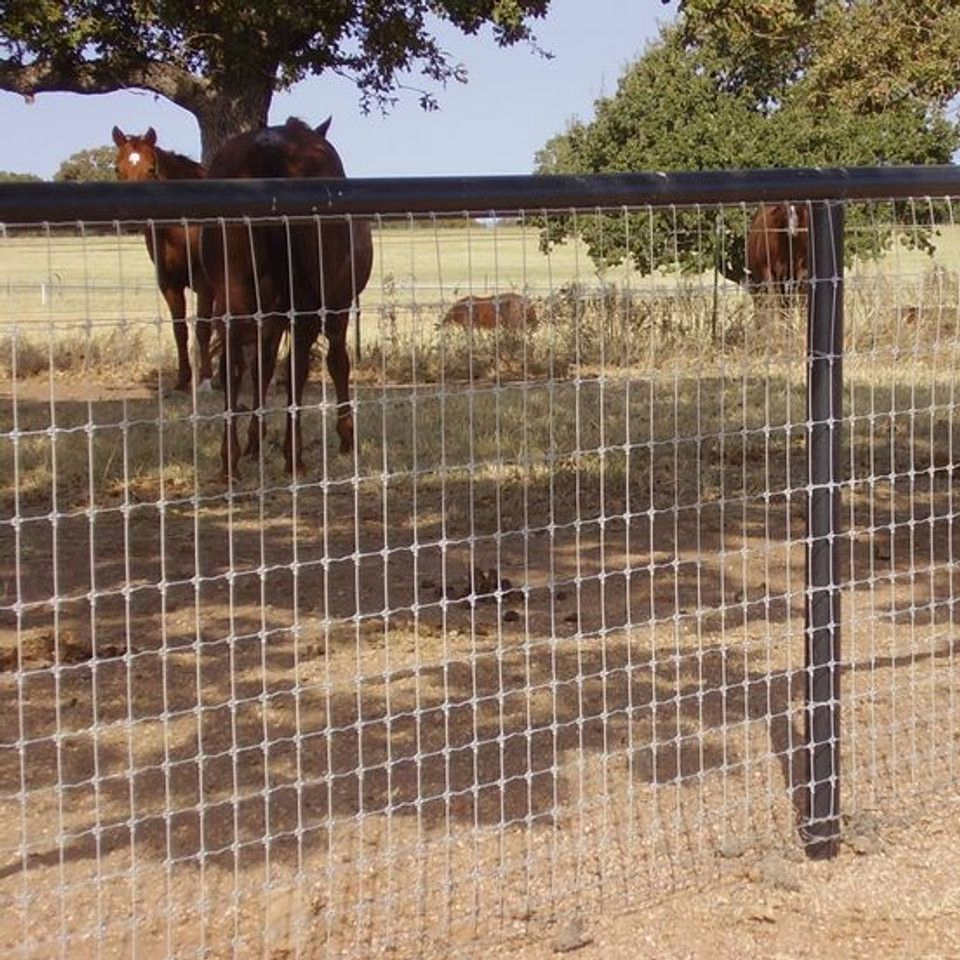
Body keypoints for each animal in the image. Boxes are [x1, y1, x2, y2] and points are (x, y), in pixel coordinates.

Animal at [112, 126, 215, 391]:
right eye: (117, 168)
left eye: (151, 168)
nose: (131, 218)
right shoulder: (169, 283)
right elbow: (180, 330)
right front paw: (182, 380)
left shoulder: (205, 284)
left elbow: (203, 328)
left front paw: (206, 380)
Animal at [200, 116, 373, 480]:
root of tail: (271, 146)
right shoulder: (337, 307)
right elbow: (338, 362)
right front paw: (346, 437)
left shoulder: (272, 317)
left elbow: (261, 368)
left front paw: (255, 440)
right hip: (308, 303)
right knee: (296, 368)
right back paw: (293, 457)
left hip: (233, 294)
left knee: (234, 364)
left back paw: (230, 460)